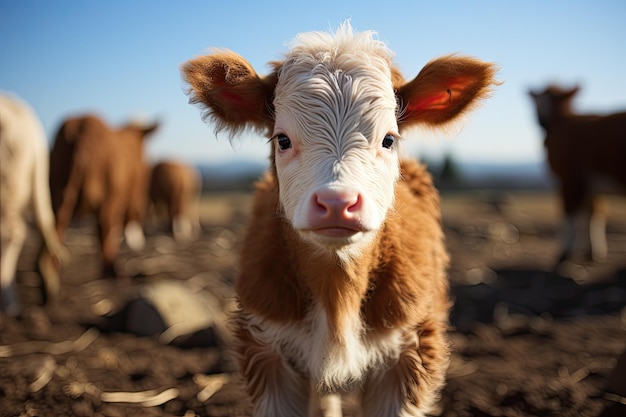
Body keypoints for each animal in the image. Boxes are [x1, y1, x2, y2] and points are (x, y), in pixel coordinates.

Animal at [40, 112, 158, 278]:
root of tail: (82, 132)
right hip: (109, 194)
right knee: (105, 224)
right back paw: (112, 270)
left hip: (56, 184)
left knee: (55, 222)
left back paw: (48, 272)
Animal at [182, 23, 498, 416]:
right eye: (282, 140)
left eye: (389, 139)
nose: (337, 202)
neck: (337, 291)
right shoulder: (265, 350)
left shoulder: (411, 352)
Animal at [528, 84, 624, 264]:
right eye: (537, 101)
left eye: (556, 100)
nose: (541, 121)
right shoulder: (590, 184)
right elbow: (592, 213)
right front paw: (592, 252)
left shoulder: (570, 179)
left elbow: (568, 212)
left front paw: (564, 253)